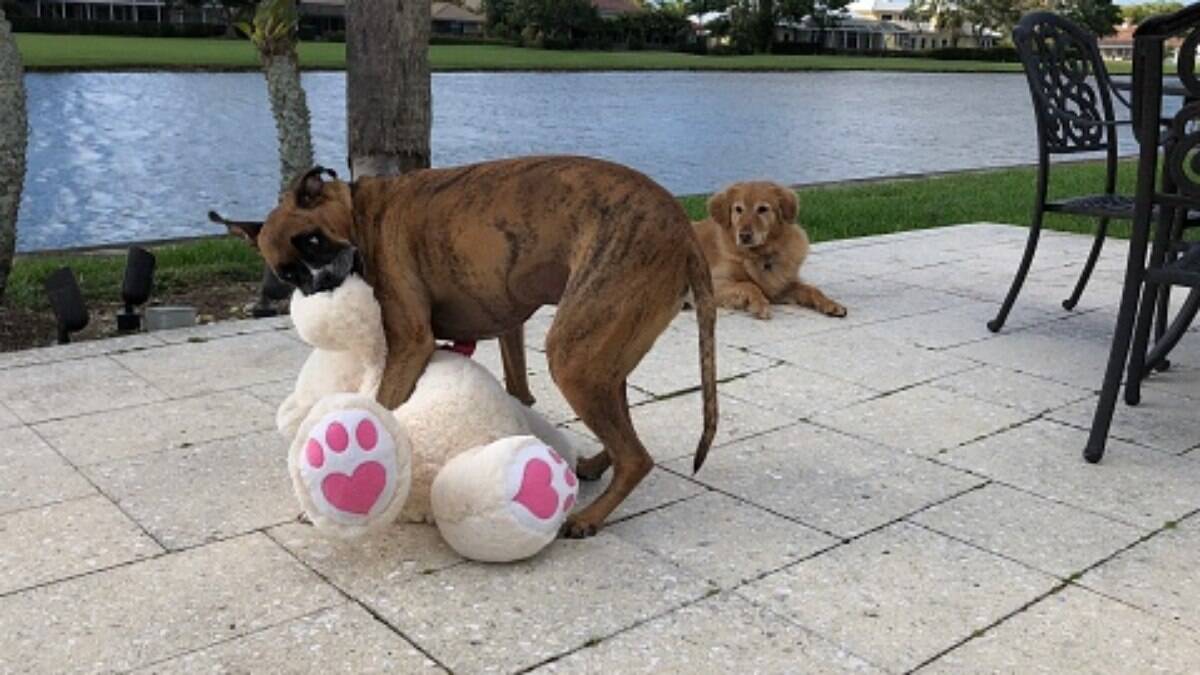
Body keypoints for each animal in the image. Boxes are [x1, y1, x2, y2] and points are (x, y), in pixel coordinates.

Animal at [218, 153, 710, 535]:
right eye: (289, 274)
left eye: (314, 240)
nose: (324, 285)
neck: (362, 214)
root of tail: (685, 231)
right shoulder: (509, 329)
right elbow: (518, 387)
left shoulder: (411, 345)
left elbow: (384, 407)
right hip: (601, 356)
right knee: (622, 425)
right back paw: (593, 467)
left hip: (575, 358)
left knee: (637, 457)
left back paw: (589, 517)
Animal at [691, 180, 849, 319]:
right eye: (738, 209)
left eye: (762, 209)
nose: (744, 236)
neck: (760, 254)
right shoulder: (713, 283)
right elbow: (749, 285)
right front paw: (760, 305)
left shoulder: (782, 285)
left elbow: (811, 289)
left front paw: (831, 304)